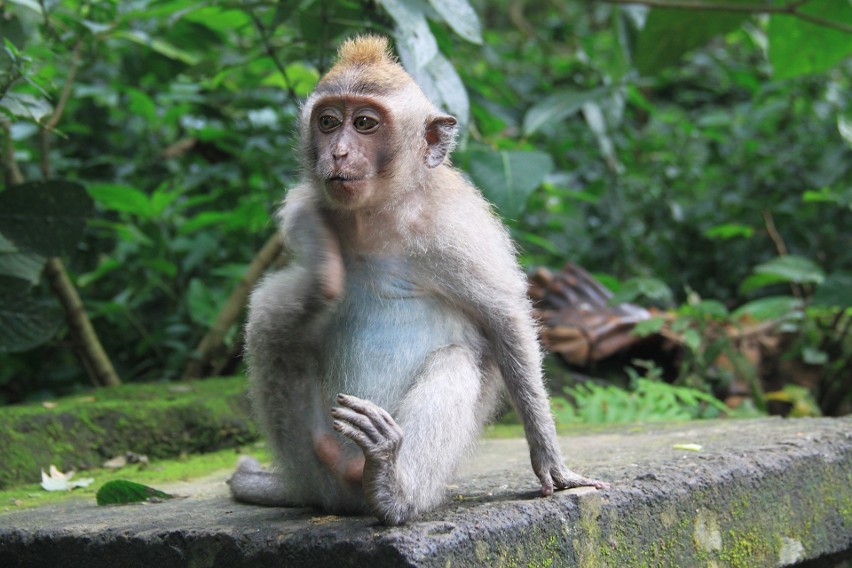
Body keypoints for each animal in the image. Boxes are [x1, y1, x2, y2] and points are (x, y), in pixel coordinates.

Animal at [230, 34, 604, 524]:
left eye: (364, 123)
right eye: (328, 122)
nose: (338, 153)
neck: (378, 217)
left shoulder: (457, 226)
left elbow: (505, 321)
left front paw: (552, 465)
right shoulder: (313, 200)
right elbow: (298, 268)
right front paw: (323, 268)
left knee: (457, 359)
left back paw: (390, 485)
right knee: (269, 322)